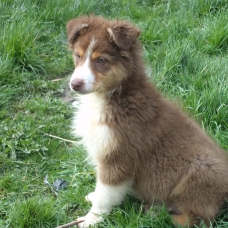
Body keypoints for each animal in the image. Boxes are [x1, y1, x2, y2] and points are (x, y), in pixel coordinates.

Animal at [66, 15, 228, 227]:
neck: (116, 95)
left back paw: (155, 213)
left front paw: (91, 219)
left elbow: (105, 194)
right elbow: (102, 190)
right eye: (78, 56)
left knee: (196, 219)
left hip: (201, 170)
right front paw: (93, 198)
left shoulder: (119, 157)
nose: (74, 84)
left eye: (101, 60)